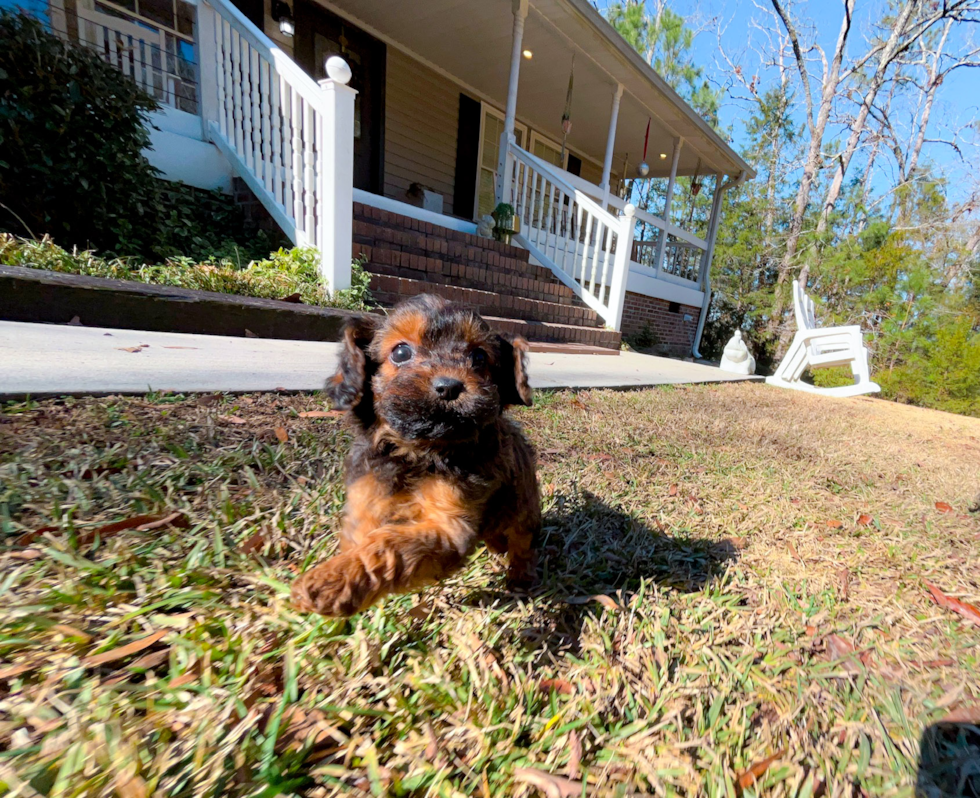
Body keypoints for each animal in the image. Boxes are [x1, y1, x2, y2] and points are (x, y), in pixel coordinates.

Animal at [290, 296, 544, 620]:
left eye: (479, 357)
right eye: (401, 352)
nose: (449, 386)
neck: (417, 453)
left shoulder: (449, 526)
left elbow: (387, 545)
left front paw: (330, 582)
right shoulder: (366, 492)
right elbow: (362, 535)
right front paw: (347, 574)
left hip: (524, 506)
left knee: (523, 543)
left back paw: (521, 578)